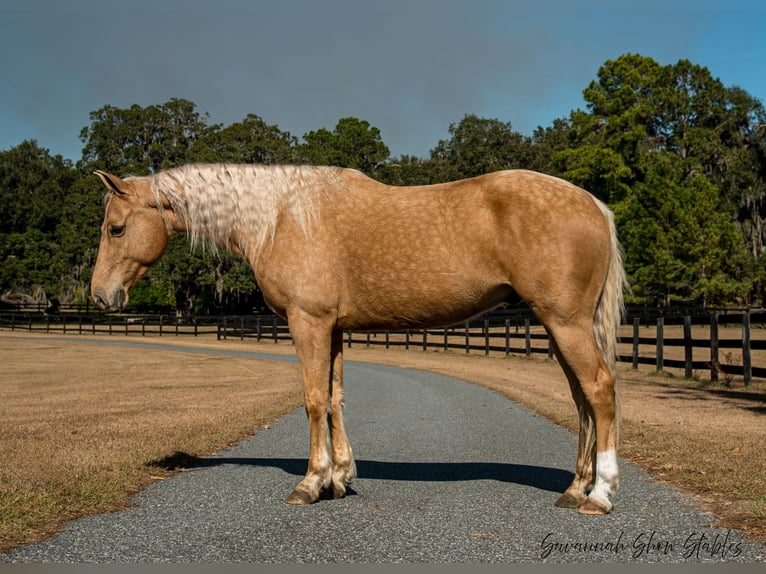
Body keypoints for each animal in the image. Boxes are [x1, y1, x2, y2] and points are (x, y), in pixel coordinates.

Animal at [91, 163, 632, 516]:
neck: (282, 217)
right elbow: (335, 398)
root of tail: (593, 203)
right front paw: (339, 478)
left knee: (600, 391)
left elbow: (313, 399)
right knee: (582, 400)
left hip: (566, 323)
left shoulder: (307, 322)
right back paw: (575, 489)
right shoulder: (331, 328)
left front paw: (311, 483)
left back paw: (601, 494)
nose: (100, 295)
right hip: (560, 326)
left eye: (116, 229)